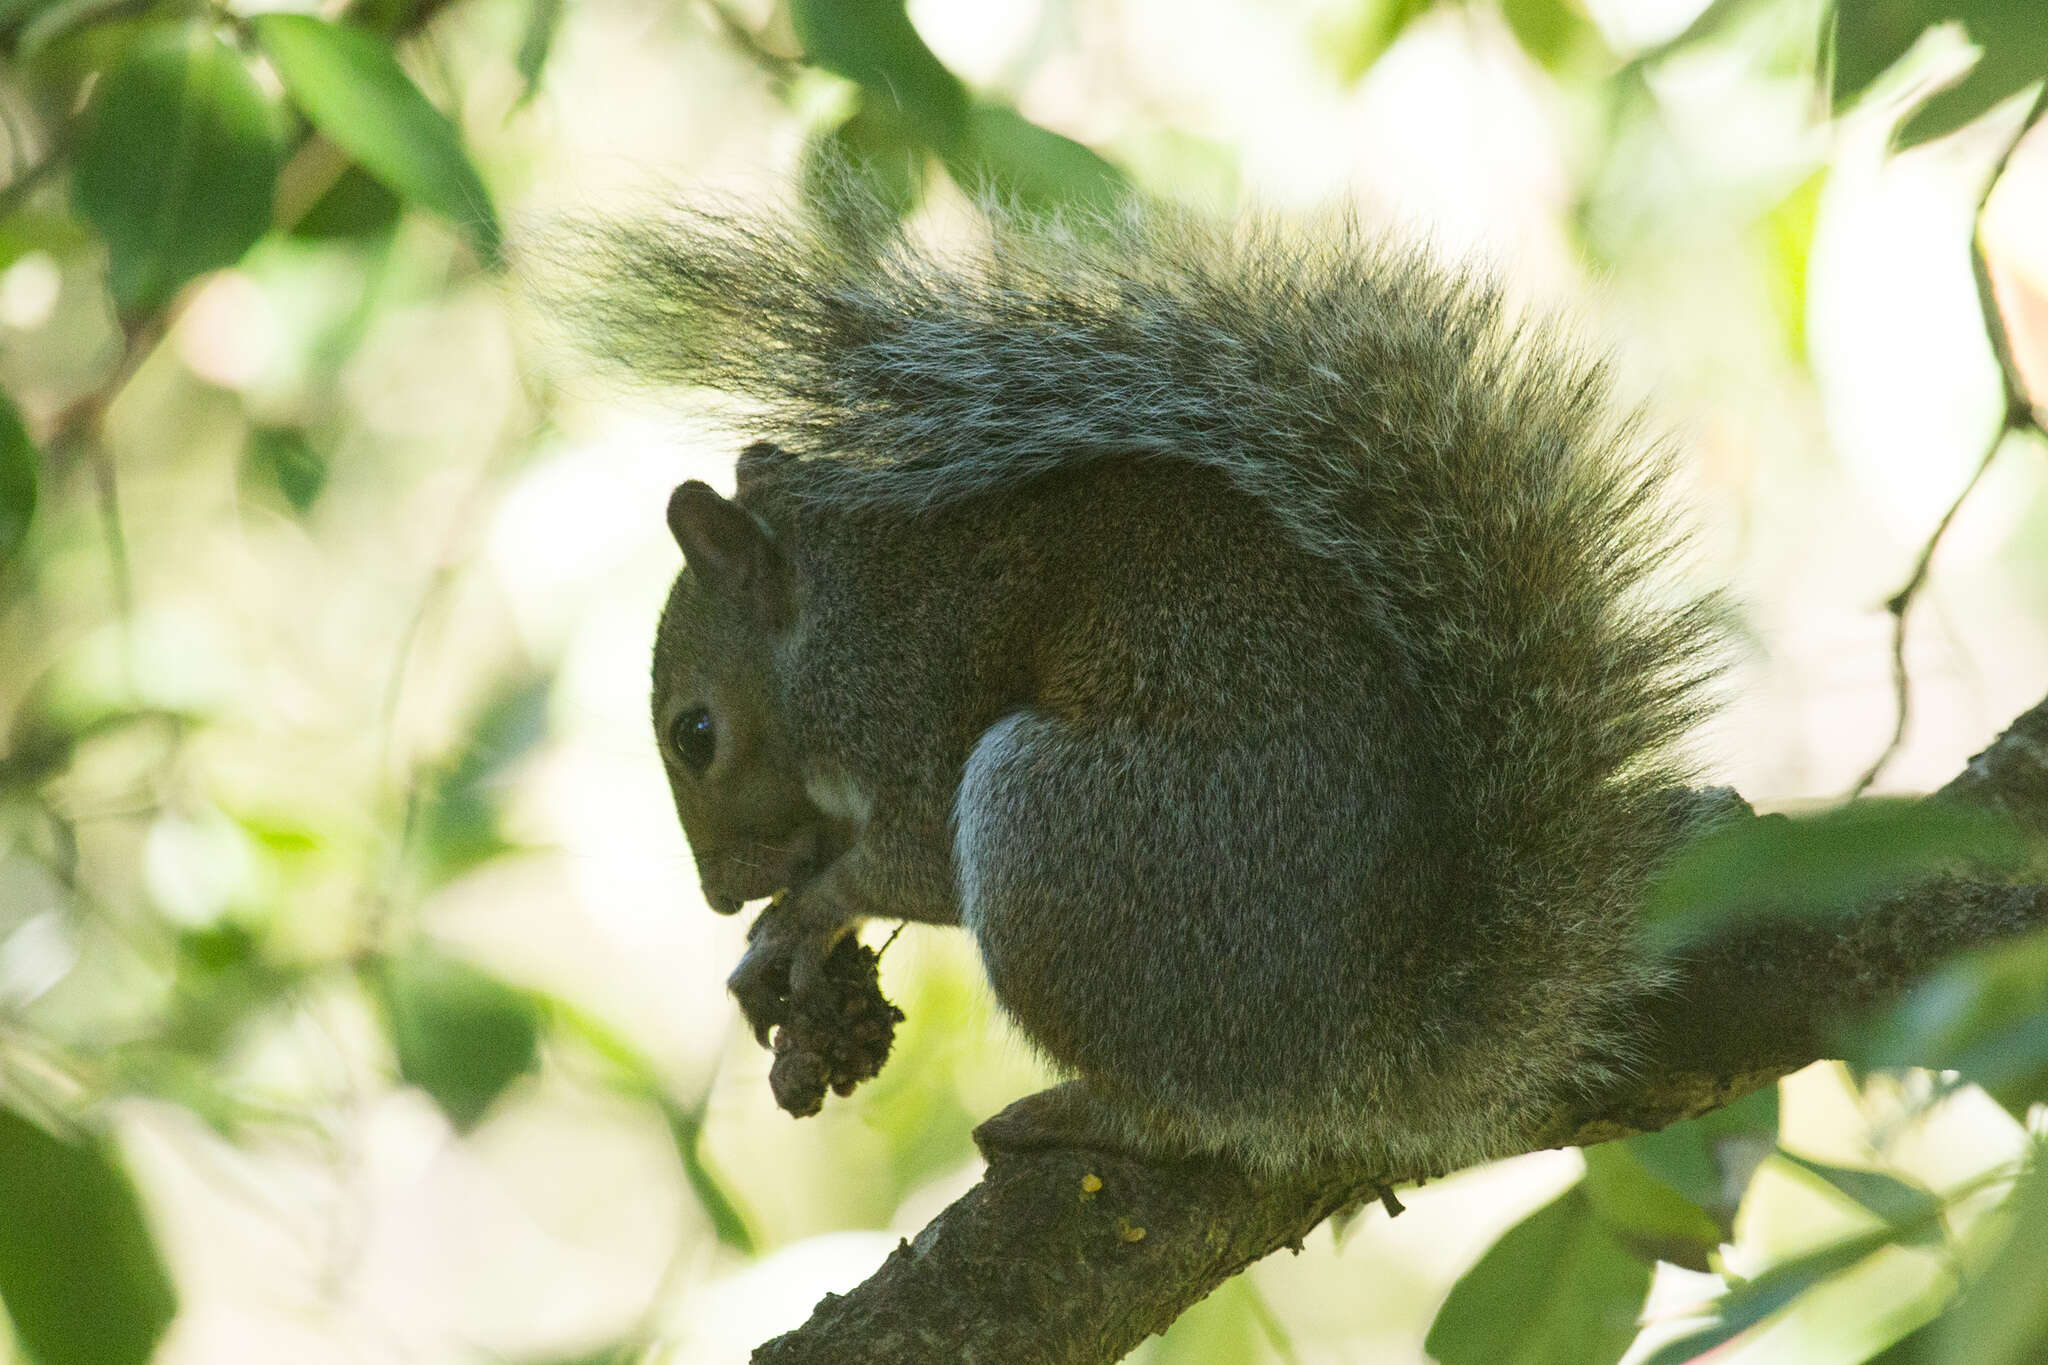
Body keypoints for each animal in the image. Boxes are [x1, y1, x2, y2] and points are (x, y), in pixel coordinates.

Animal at [577, 189, 1728, 1178]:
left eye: (693, 733)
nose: (719, 892)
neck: (832, 619)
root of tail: (1356, 1050)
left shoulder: (905, 704)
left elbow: (908, 865)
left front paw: (804, 913)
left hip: (1053, 831)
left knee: (1178, 1111)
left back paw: (1077, 1110)